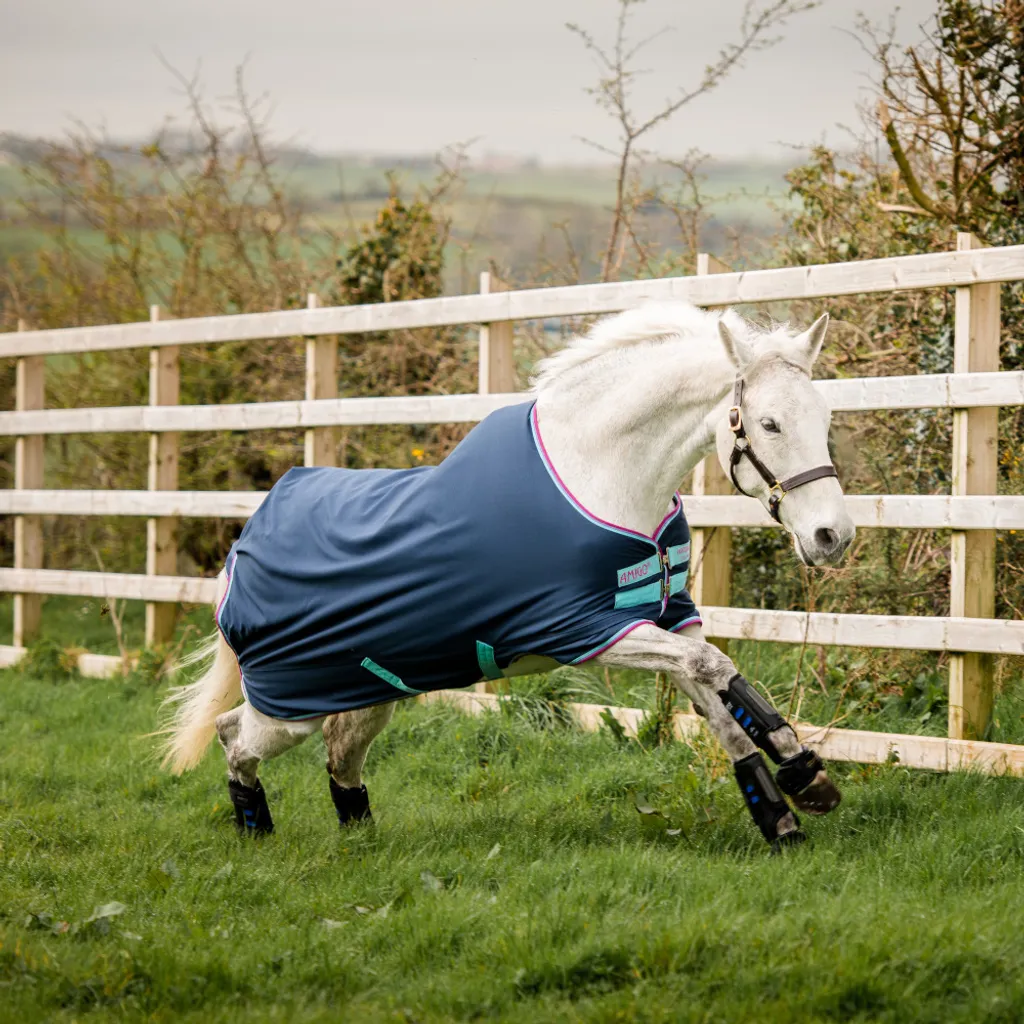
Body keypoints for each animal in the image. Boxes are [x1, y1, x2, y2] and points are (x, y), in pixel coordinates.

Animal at [161, 301, 854, 850]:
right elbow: (717, 671)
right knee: (234, 737)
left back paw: (359, 839)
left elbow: (716, 697)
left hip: (364, 693)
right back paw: (255, 833)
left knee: (338, 752)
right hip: (290, 707)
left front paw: (789, 806)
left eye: (825, 418)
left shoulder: (668, 620)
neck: (600, 476)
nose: (832, 537)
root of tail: (241, 549)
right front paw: (803, 775)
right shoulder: (587, 633)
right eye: (768, 423)